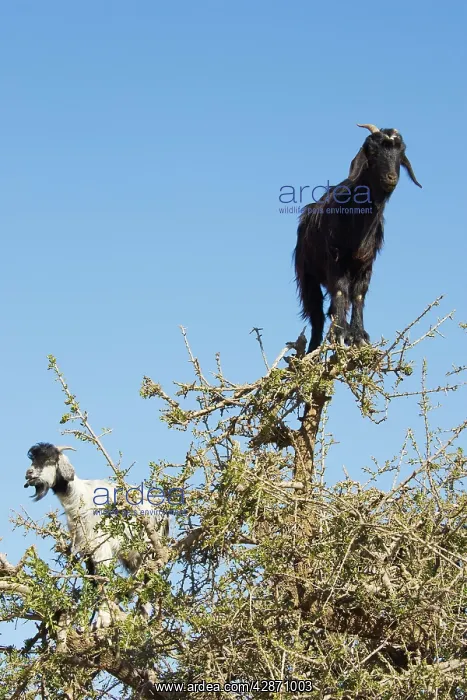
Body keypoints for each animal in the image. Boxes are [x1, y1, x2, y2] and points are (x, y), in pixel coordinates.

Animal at [24, 442, 169, 628]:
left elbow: (102, 578)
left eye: (49, 460)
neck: (78, 497)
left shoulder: (100, 545)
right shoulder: (85, 547)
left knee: (148, 577)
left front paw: (104, 619)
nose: (29, 473)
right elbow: (93, 579)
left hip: (148, 549)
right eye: (33, 459)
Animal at [294, 123, 422, 353]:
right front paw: (340, 333)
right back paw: (313, 350)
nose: (391, 178)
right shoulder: (336, 260)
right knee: (316, 313)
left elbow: (359, 295)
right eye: (373, 151)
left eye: (401, 152)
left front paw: (358, 335)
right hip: (307, 274)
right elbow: (341, 291)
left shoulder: (366, 264)